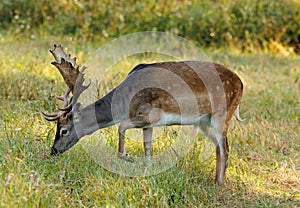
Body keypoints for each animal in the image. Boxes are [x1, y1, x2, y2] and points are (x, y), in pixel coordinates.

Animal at [42, 44, 244, 184]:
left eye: (64, 130)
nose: (53, 150)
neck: (125, 101)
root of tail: (241, 83)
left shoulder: (150, 115)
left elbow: (121, 127)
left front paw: (129, 158)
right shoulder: (149, 125)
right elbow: (147, 149)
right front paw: (147, 172)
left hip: (222, 114)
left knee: (225, 148)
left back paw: (219, 184)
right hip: (204, 122)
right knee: (219, 147)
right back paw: (215, 180)